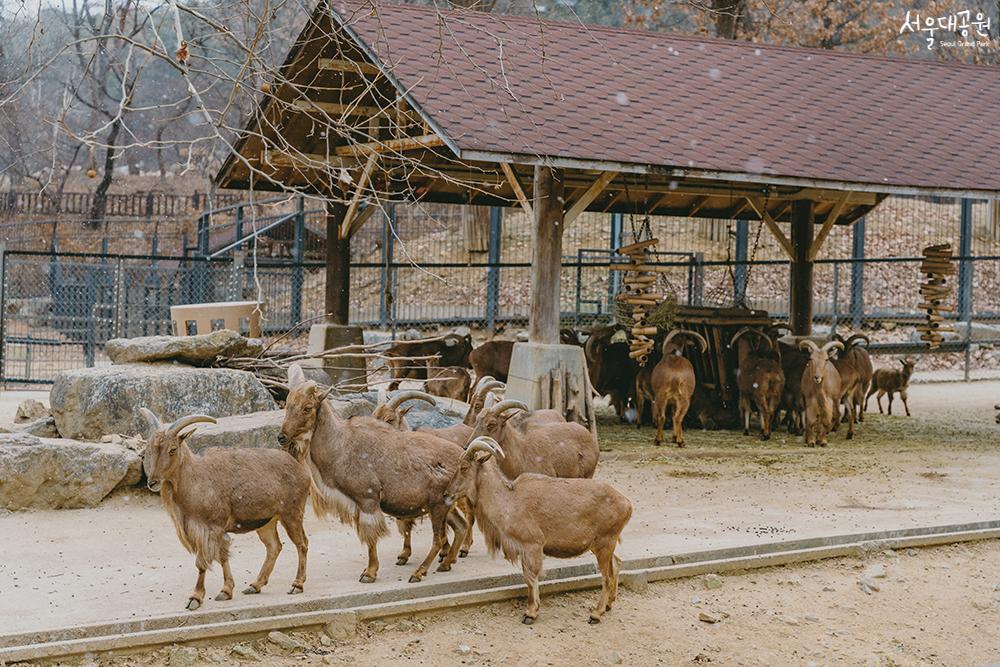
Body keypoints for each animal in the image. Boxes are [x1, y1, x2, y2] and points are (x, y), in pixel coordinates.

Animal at [137, 408, 308, 612]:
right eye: (150, 449)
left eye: (172, 449)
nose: (152, 482)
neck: (195, 480)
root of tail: (299, 467)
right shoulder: (206, 531)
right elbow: (222, 556)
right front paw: (226, 591)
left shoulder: (211, 529)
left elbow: (203, 562)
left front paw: (196, 598)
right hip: (267, 522)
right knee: (274, 547)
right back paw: (255, 585)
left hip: (292, 513)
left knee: (302, 544)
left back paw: (297, 585)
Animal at [448, 438, 632, 628]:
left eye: (464, 467)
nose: (448, 493)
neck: (509, 501)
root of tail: (627, 503)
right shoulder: (524, 549)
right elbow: (527, 577)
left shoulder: (533, 545)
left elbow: (531, 578)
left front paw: (530, 613)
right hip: (600, 544)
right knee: (617, 563)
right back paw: (609, 604)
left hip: (605, 542)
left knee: (607, 576)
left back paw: (596, 614)